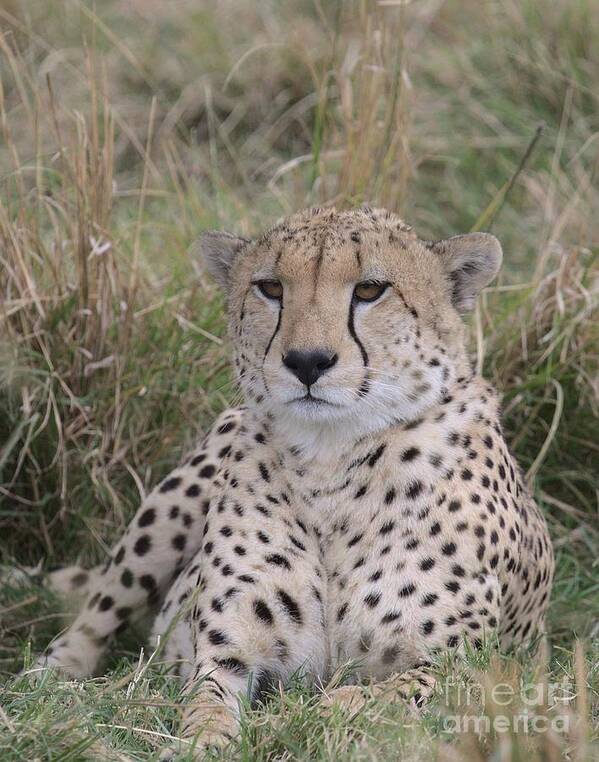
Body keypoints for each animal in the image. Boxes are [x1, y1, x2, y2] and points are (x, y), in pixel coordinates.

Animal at [35, 208, 556, 756]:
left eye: (370, 290)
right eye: (270, 288)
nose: (307, 360)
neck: (330, 464)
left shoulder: (471, 670)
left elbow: (382, 693)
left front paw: (310, 717)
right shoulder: (228, 654)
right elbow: (207, 705)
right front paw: (206, 741)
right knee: (95, 614)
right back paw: (50, 680)